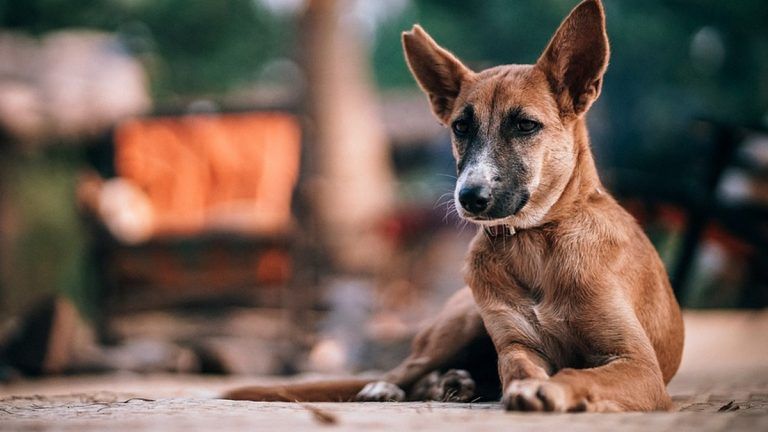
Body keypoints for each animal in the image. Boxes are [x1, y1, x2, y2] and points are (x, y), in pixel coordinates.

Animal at [224, 0, 684, 412]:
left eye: (526, 125)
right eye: (461, 126)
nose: (470, 197)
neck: (536, 242)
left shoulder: (639, 365)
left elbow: (578, 372)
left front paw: (549, 390)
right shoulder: (516, 345)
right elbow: (517, 367)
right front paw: (527, 386)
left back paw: (453, 384)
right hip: (460, 323)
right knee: (405, 368)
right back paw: (397, 387)